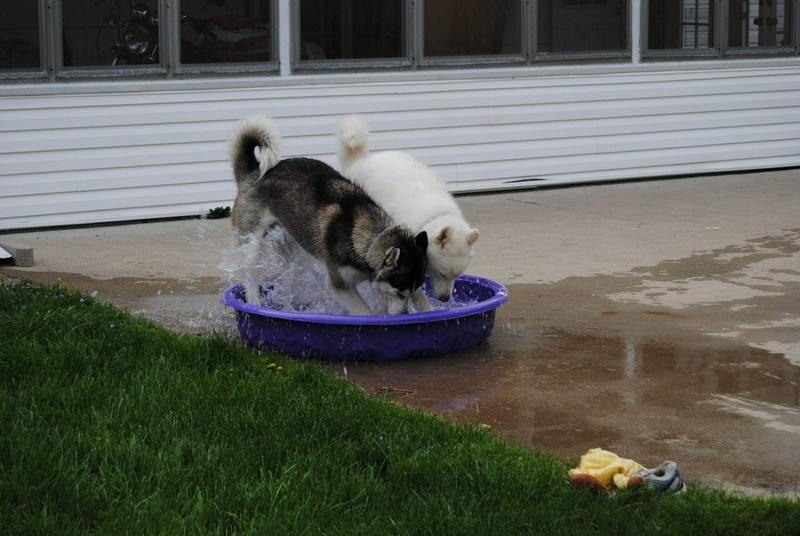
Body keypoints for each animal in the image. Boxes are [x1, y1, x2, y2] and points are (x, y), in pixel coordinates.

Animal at [228, 113, 428, 314]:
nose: (404, 315)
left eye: (413, 291)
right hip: (251, 242)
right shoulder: (339, 284)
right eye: (400, 292)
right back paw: (254, 301)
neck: (369, 236)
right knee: (250, 274)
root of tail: (252, 173)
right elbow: (364, 311)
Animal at [336, 115, 478, 312]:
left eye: (457, 275)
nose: (444, 299)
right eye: (442, 274)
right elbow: (414, 294)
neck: (435, 218)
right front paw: (428, 311)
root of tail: (360, 161)